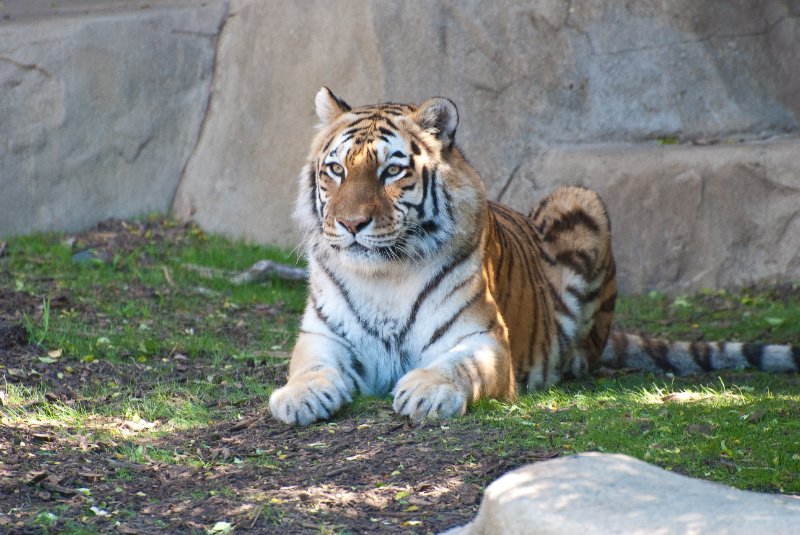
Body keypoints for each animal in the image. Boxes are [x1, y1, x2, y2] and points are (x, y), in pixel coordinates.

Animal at [268, 87, 800, 426]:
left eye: (391, 172)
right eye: (336, 170)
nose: (351, 224)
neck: (384, 276)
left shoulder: (481, 339)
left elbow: (454, 367)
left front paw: (426, 392)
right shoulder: (322, 336)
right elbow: (309, 367)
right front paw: (299, 398)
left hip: (579, 201)